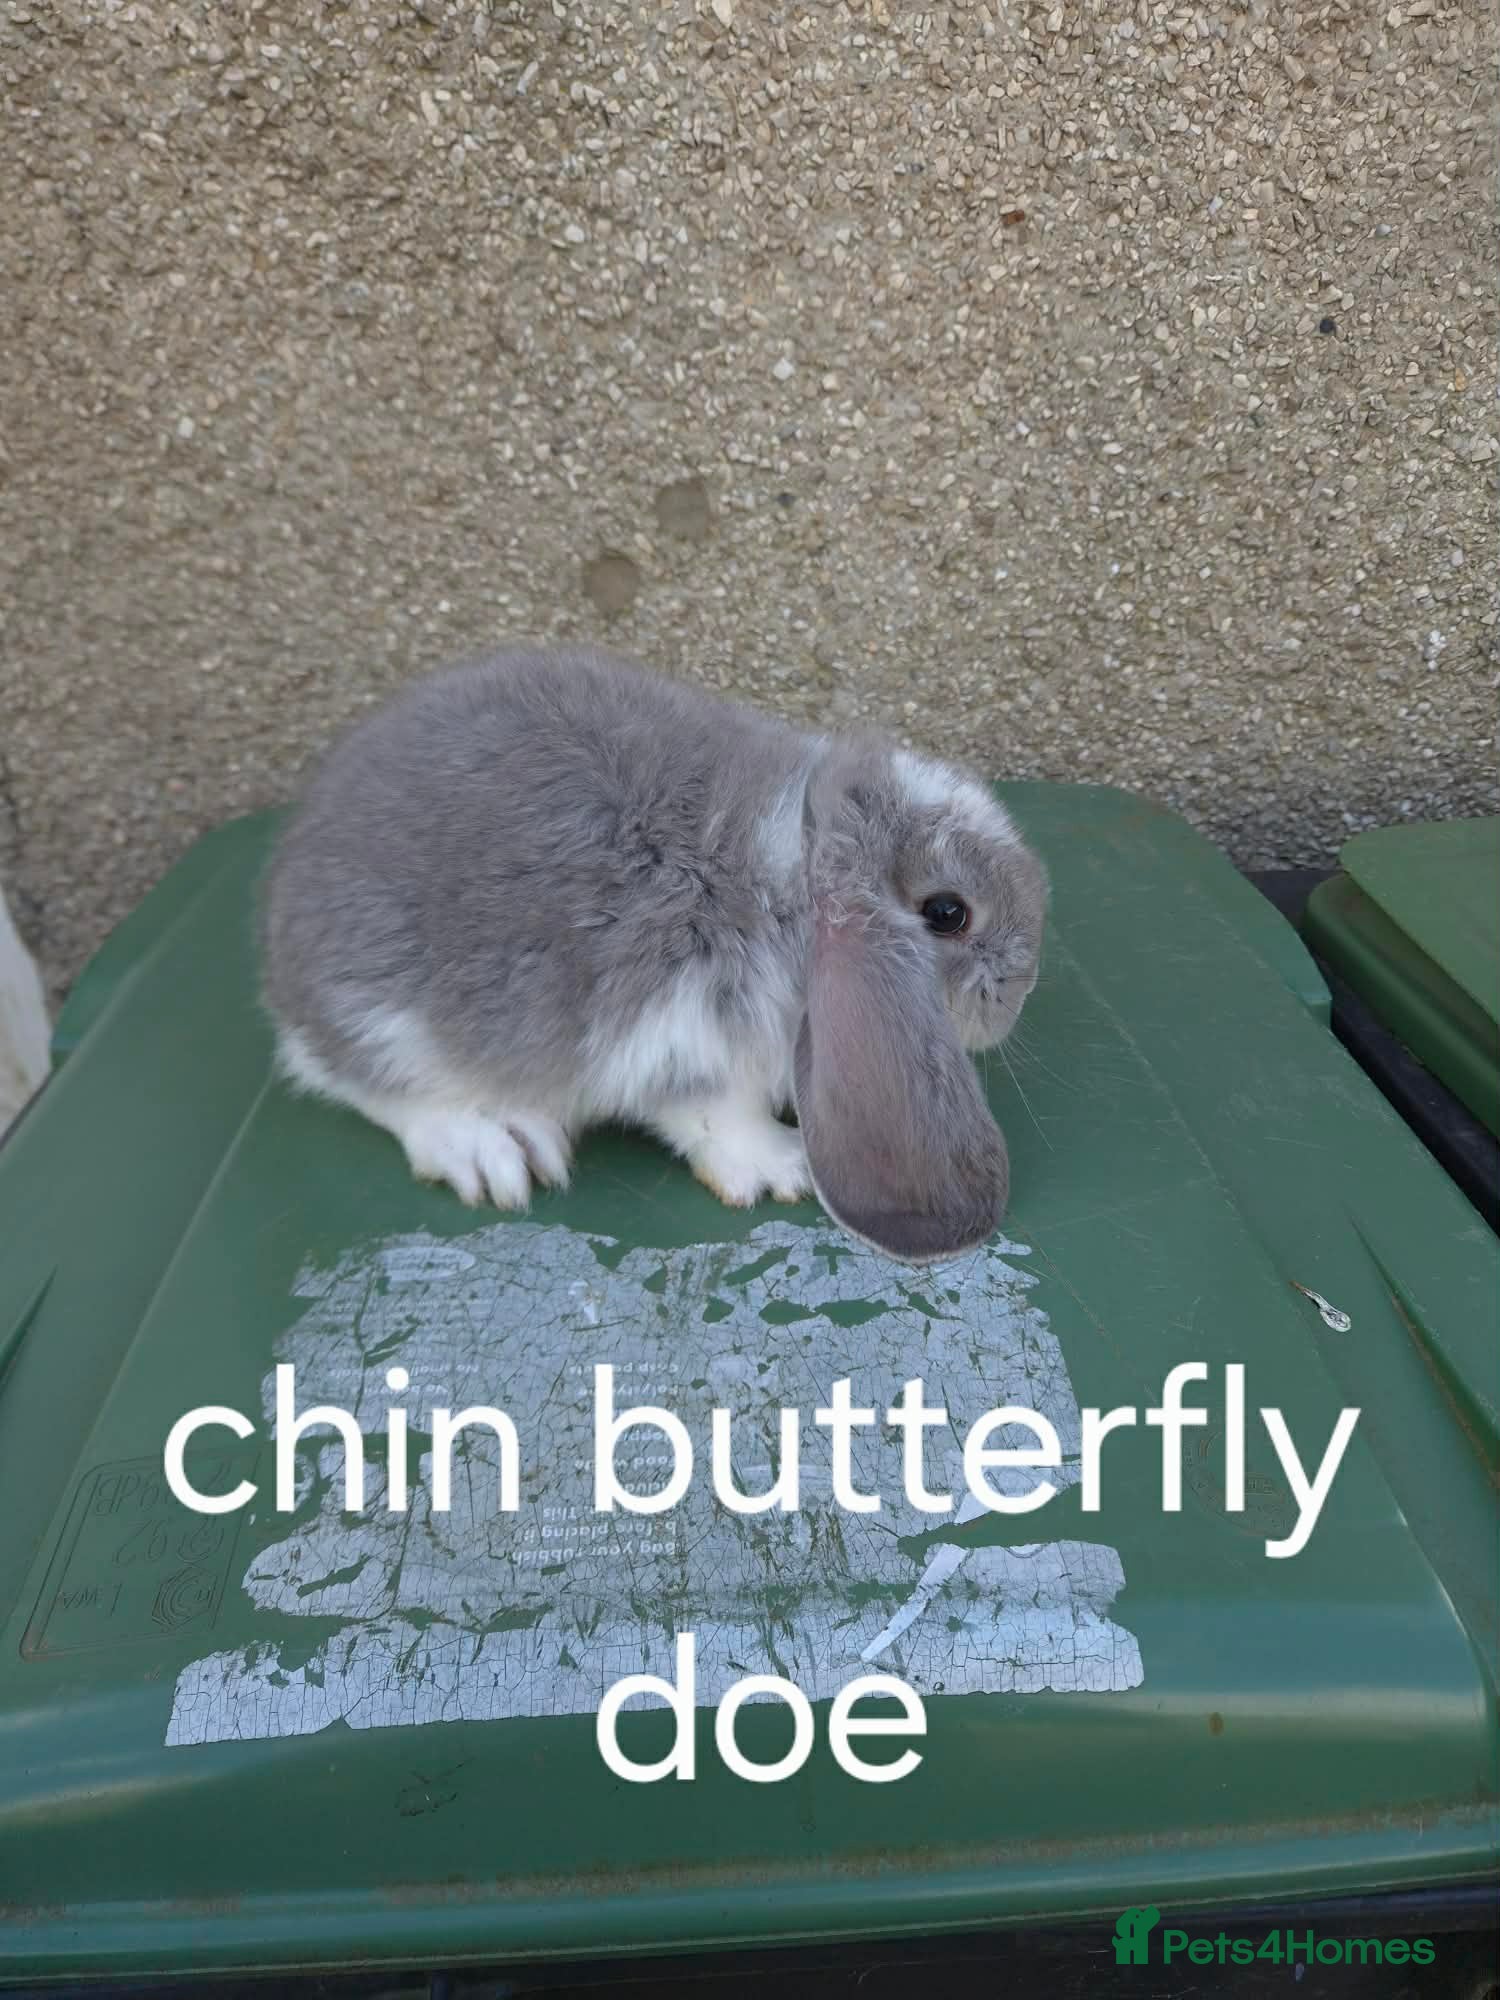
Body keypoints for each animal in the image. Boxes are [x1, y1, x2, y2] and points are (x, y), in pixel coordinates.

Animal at [260, 645, 1047, 1264]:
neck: (795, 867)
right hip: (383, 1015)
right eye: (948, 914)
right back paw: (493, 1145)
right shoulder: (683, 1029)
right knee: (370, 1086)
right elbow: (712, 1116)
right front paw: (784, 1165)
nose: (1018, 998)